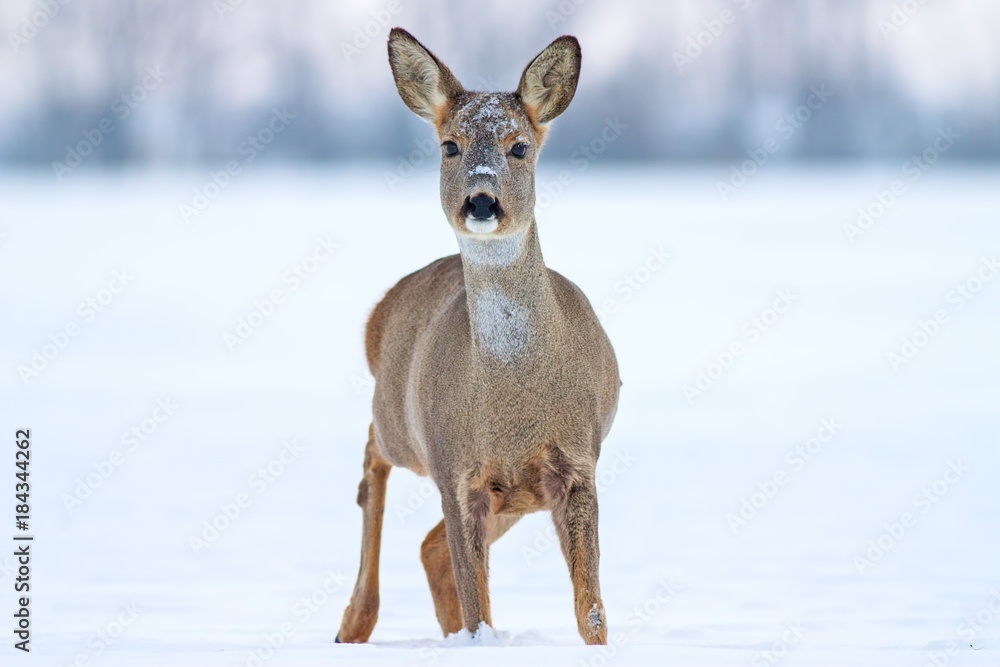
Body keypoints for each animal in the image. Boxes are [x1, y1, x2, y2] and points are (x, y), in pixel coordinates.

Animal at [335, 27, 620, 646]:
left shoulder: (578, 460)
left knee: (430, 548)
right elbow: (478, 608)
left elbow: (590, 609)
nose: (482, 201)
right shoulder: (455, 468)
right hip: (403, 423)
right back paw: (353, 621)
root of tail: (380, 312)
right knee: (372, 454)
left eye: (519, 146)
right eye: (449, 146)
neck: (514, 404)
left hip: (513, 499)